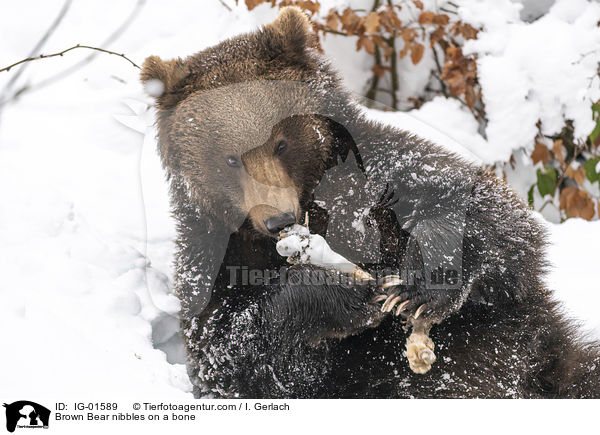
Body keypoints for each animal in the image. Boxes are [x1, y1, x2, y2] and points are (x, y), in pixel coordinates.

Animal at [142, 6, 600, 398]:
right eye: (230, 158)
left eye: (281, 142)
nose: (279, 219)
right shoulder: (211, 255)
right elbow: (229, 351)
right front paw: (347, 293)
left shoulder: (384, 170)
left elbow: (494, 222)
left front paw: (417, 286)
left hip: (545, 357)